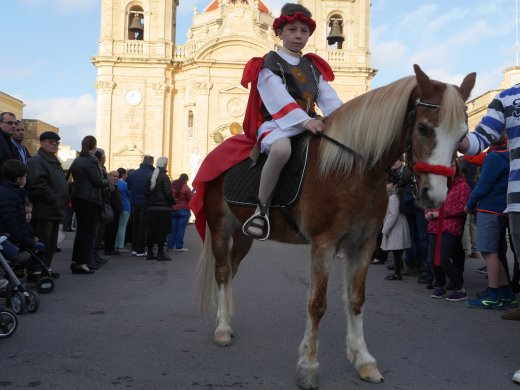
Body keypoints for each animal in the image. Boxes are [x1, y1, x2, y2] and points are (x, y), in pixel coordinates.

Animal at [196, 65, 476, 388]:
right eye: (423, 128)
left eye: (463, 135)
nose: (436, 195)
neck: (353, 169)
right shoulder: (324, 243)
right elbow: (317, 303)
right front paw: (308, 366)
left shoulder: (363, 244)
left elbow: (356, 300)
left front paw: (363, 360)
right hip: (220, 226)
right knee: (222, 272)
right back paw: (221, 329)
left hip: (243, 236)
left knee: (231, 272)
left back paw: (227, 319)